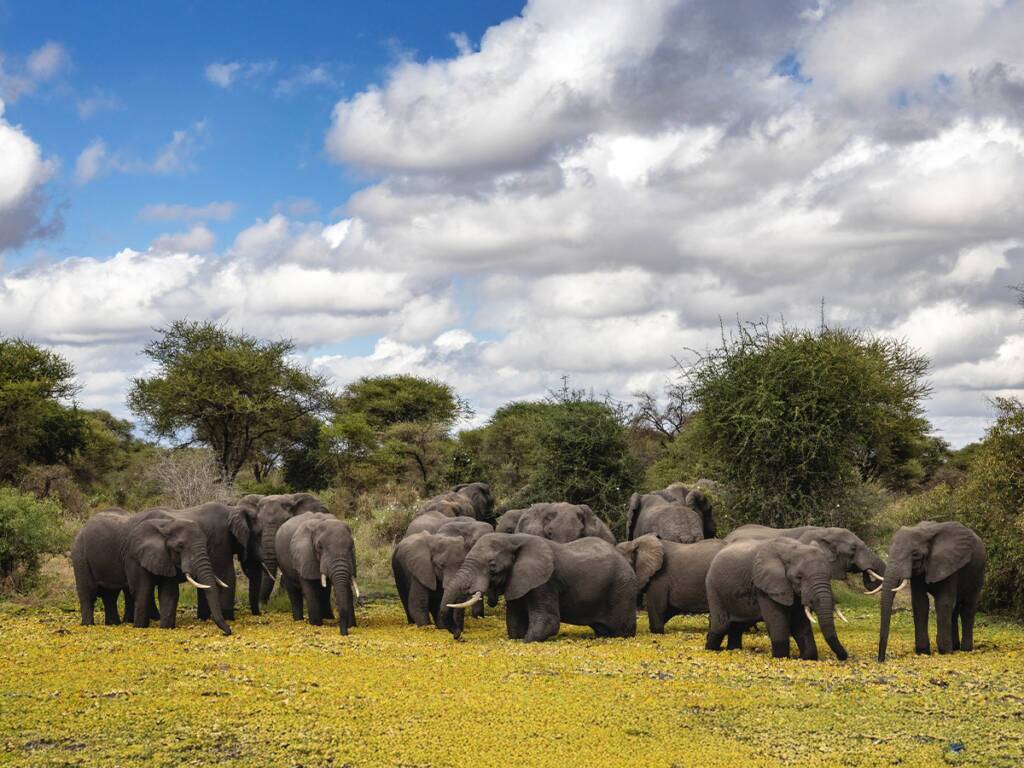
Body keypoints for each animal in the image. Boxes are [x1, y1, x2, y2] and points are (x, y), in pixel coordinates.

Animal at [72, 510, 232, 635]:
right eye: (180, 546)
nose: (228, 632)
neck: (166, 525)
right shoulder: (134, 555)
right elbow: (142, 590)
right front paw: (139, 627)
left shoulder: (166, 558)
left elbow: (169, 593)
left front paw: (166, 628)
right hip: (80, 556)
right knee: (88, 593)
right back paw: (88, 625)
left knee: (110, 595)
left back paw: (113, 625)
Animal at [440, 533, 638, 642]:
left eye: (493, 566)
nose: (459, 637)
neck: (512, 539)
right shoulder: (517, 581)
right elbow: (514, 626)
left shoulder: (545, 582)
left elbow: (548, 623)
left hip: (622, 589)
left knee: (621, 630)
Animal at [705, 538, 847, 660]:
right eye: (799, 577)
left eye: (829, 576)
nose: (842, 657)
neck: (790, 549)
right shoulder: (766, 586)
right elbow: (777, 621)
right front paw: (781, 657)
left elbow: (800, 623)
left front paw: (807, 657)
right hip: (714, 589)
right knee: (721, 625)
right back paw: (712, 650)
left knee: (738, 626)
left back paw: (734, 650)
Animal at [877, 521, 986, 662]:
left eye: (915, 554)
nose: (880, 660)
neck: (925, 534)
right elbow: (920, 603)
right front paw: (923, 652)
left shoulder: (949, 564)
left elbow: (943, 603)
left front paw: (944, 652)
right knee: (954, 610)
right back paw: (955, 648)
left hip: (978, 571)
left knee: (968, 608)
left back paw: (965, 650)